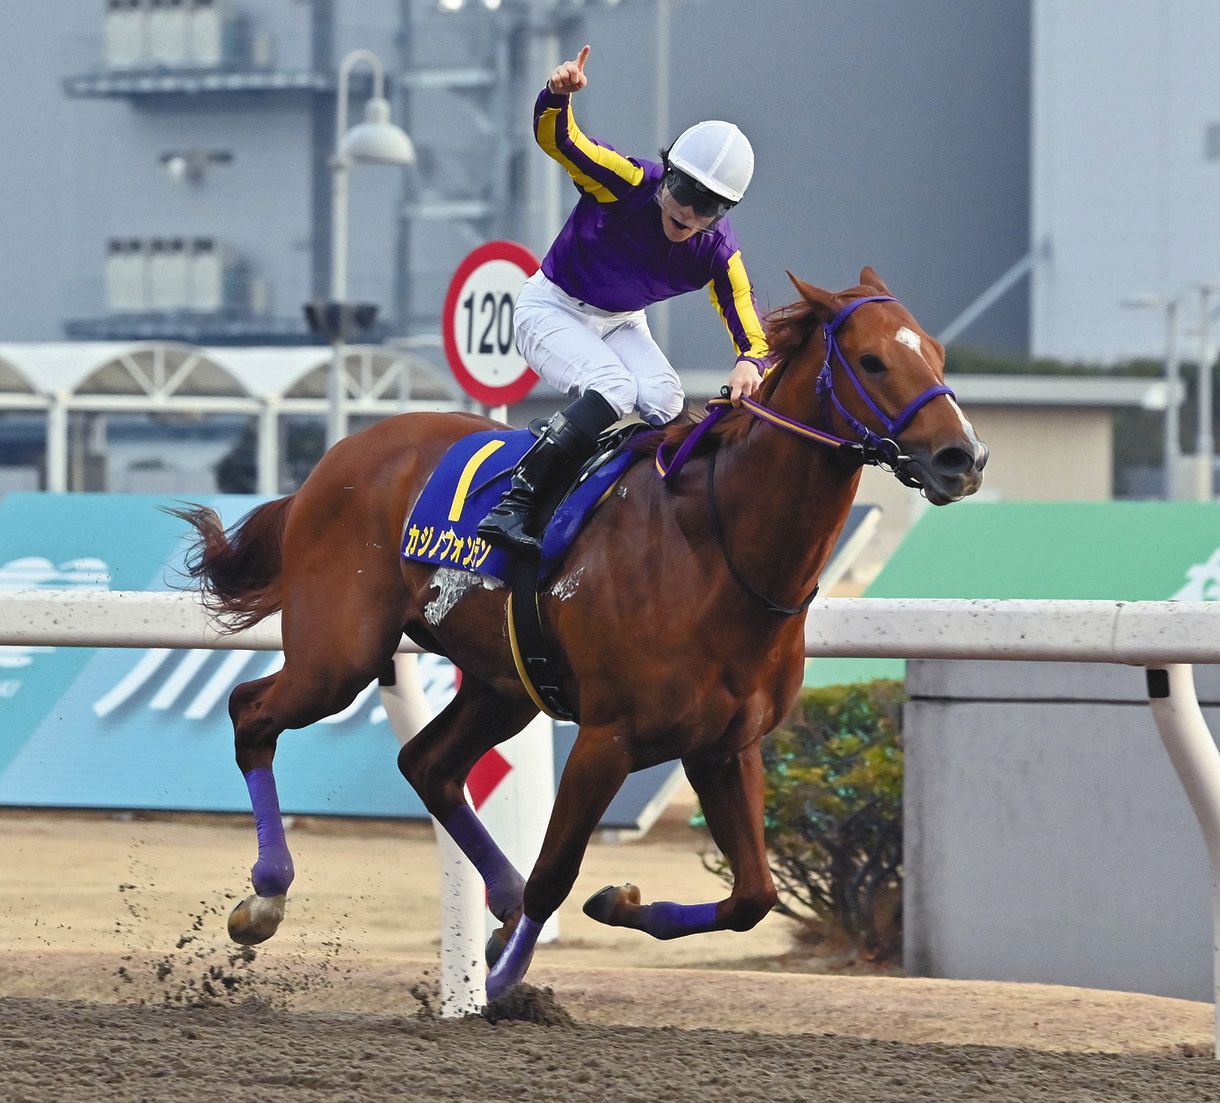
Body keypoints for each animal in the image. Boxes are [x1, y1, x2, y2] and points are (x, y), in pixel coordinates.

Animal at [176, 267, 985, 1000]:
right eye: (874, 360)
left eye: (937, 353)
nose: (963, 457)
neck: (717, 546)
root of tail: (336, 459)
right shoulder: (608, 737)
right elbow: (556, 873)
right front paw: (503, 981)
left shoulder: (725, 745)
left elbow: (753, 894)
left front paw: (615, 902)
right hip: (339, 655)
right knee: (253, 711)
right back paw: (267, 894)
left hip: (504, 684)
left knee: (427, 764)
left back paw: (495, 905)